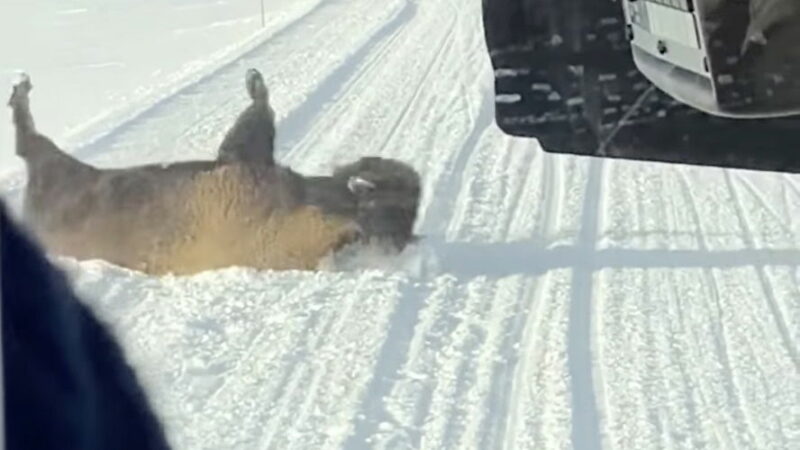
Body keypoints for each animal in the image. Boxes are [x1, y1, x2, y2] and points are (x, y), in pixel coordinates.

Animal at [9, 69, 422, 274]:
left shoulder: (241, 163)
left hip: (55, 170)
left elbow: (255, 117)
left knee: (29, 143)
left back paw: (20, 93)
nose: (366, 174)